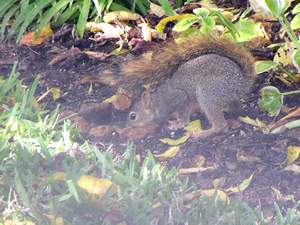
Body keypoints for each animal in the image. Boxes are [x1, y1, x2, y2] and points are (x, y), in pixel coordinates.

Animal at [115, 35, 255, 139]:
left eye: (133, 116)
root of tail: (241, 81)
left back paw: (201, 134)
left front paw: (177, 124)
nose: (126, 126)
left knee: (220, 126)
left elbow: (183, 115)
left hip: (208, 94)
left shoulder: (178, 99)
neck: (157, 103)